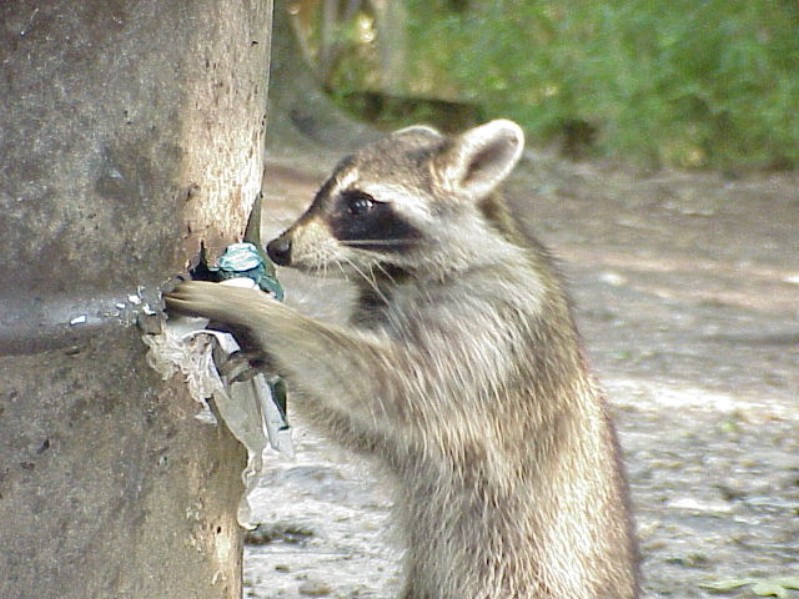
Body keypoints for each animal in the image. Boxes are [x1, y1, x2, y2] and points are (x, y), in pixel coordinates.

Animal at [166, 119, 640, 596]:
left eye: (360, 203)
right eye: (324, 189)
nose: (279, 247)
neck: (397, 275)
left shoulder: (491, 319)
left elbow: (391, 384)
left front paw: (256, 312)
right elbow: (366, 424)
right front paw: (262, 351)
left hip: (516, 574)